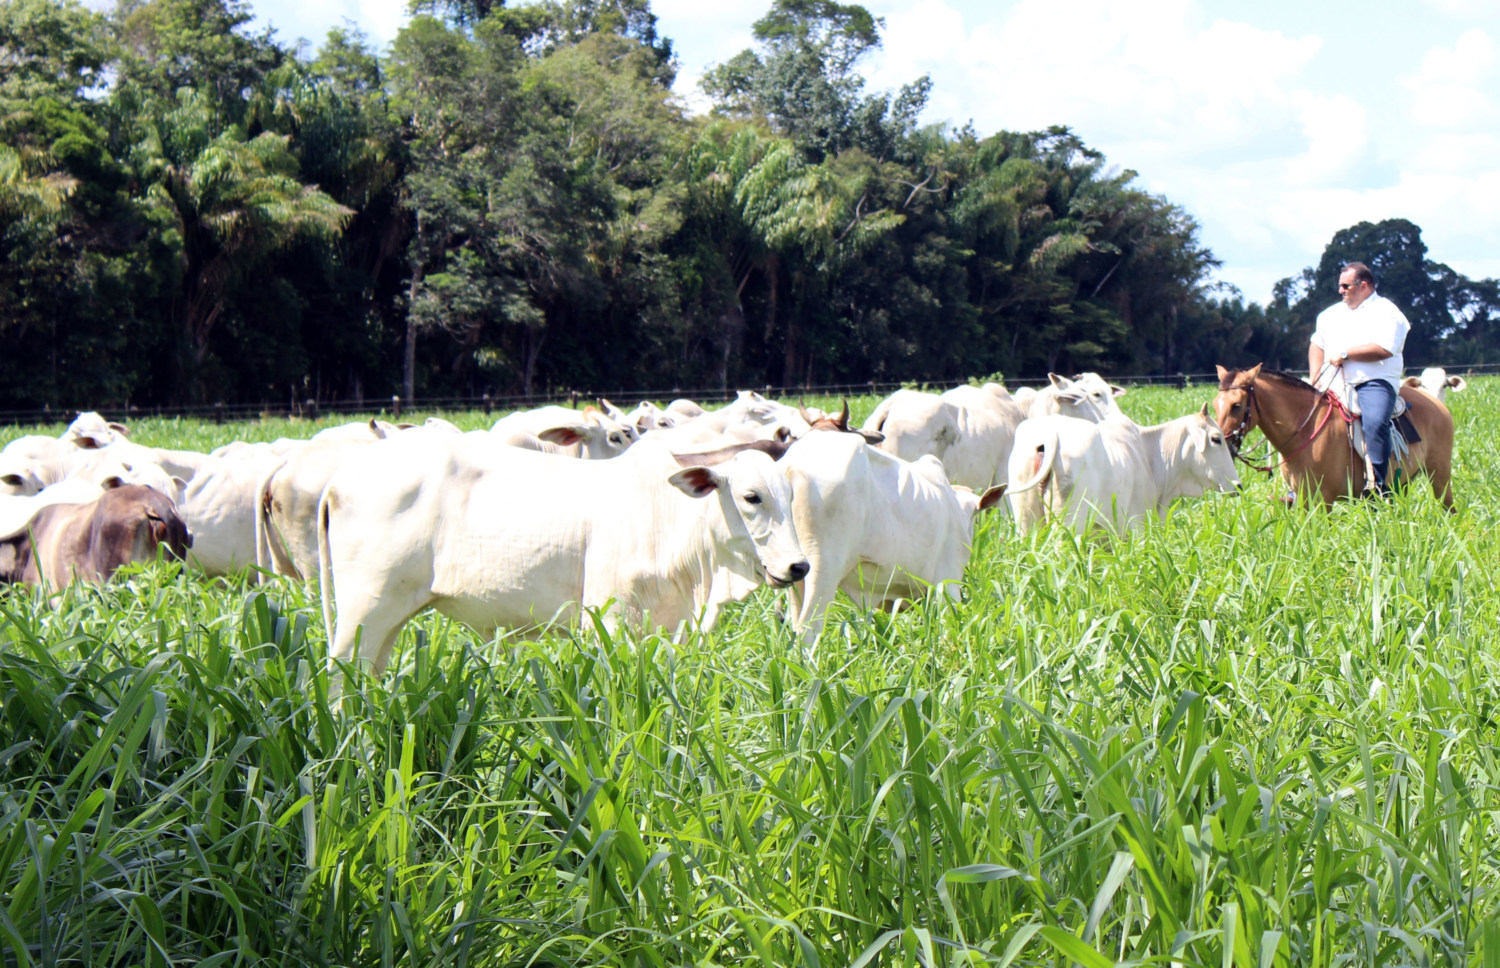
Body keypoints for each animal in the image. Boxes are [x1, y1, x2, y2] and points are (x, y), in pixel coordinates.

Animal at [316, 435, 810, 672]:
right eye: (751, 497)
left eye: (789, 495)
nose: (798, 566)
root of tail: (338, 480)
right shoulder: (609, 620)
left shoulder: (667, 626)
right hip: (363, 609)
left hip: (389, 617)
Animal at [1008, 405, 1242, 531]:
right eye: (1216, 439)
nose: (1238, 485)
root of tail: (1050, 435)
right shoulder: (1138, 524)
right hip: (1068, 524)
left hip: (1027, 522)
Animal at [1212, 363, 1458, 510]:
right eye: (1215, 404)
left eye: (1236, 405)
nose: (1221, 443)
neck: (1305, 431)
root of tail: (1436, 403)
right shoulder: (1303, 499)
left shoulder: (1324, 500)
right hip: (1402, 482)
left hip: (1439, 476)